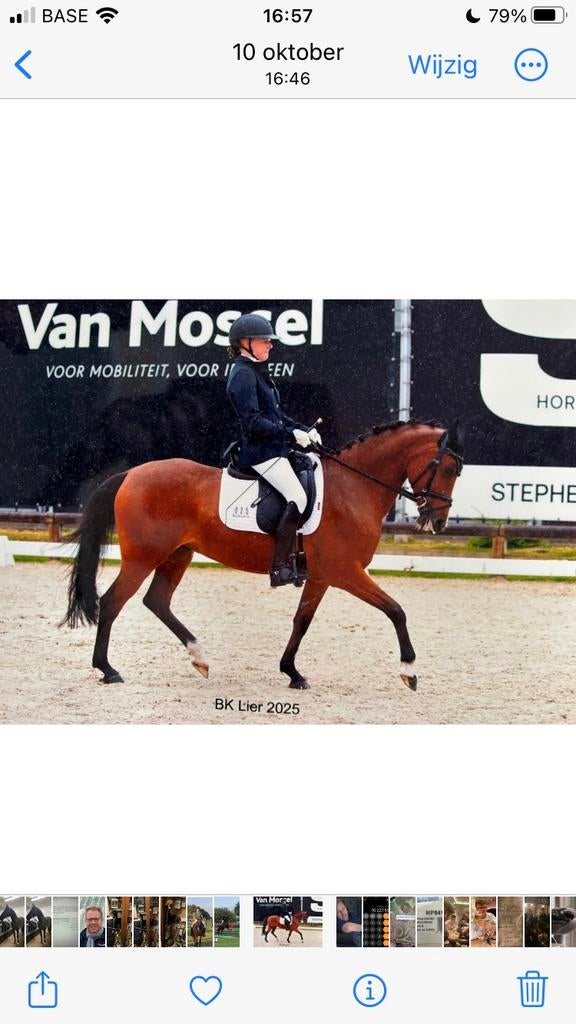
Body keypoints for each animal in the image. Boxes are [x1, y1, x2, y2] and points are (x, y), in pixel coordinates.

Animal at [62, 419, 464, 692]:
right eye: (447, 468)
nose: (438, 521)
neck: (354, 488)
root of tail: (130, 474)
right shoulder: (346, 571)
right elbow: (396, 610)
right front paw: (409, 671)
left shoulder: (321, 576)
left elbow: (302, 621)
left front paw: (292, 673)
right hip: (143, 557)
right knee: (112, 602)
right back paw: (108, 669)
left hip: (178, 555)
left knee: (156, 601)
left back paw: (200, 658)